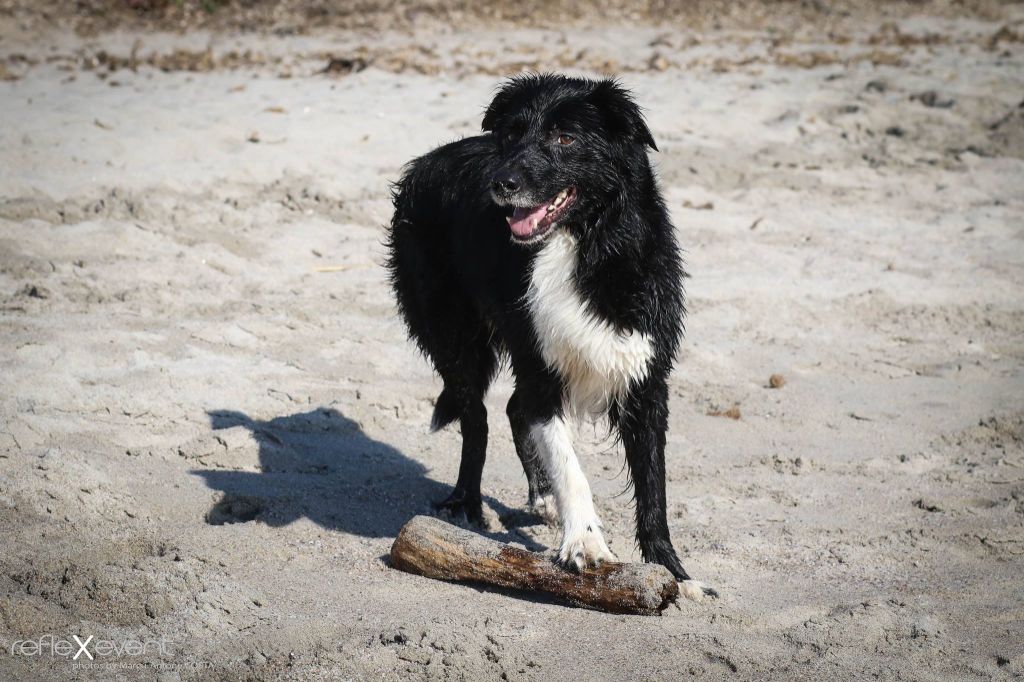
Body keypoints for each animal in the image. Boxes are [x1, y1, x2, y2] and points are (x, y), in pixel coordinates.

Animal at [385, 74, 712, 593]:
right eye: (511, 135)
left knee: (511, 409)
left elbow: (653, 489)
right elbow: (569, 465)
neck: (578, 243)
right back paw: (467, 504)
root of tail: (428, 159)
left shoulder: (644, 375)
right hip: (454, 333)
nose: (502, 183)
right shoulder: (540, 365)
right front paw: (586, 544)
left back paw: (539, 496)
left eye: (565, 138)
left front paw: (673, 573)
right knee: (476, 416)